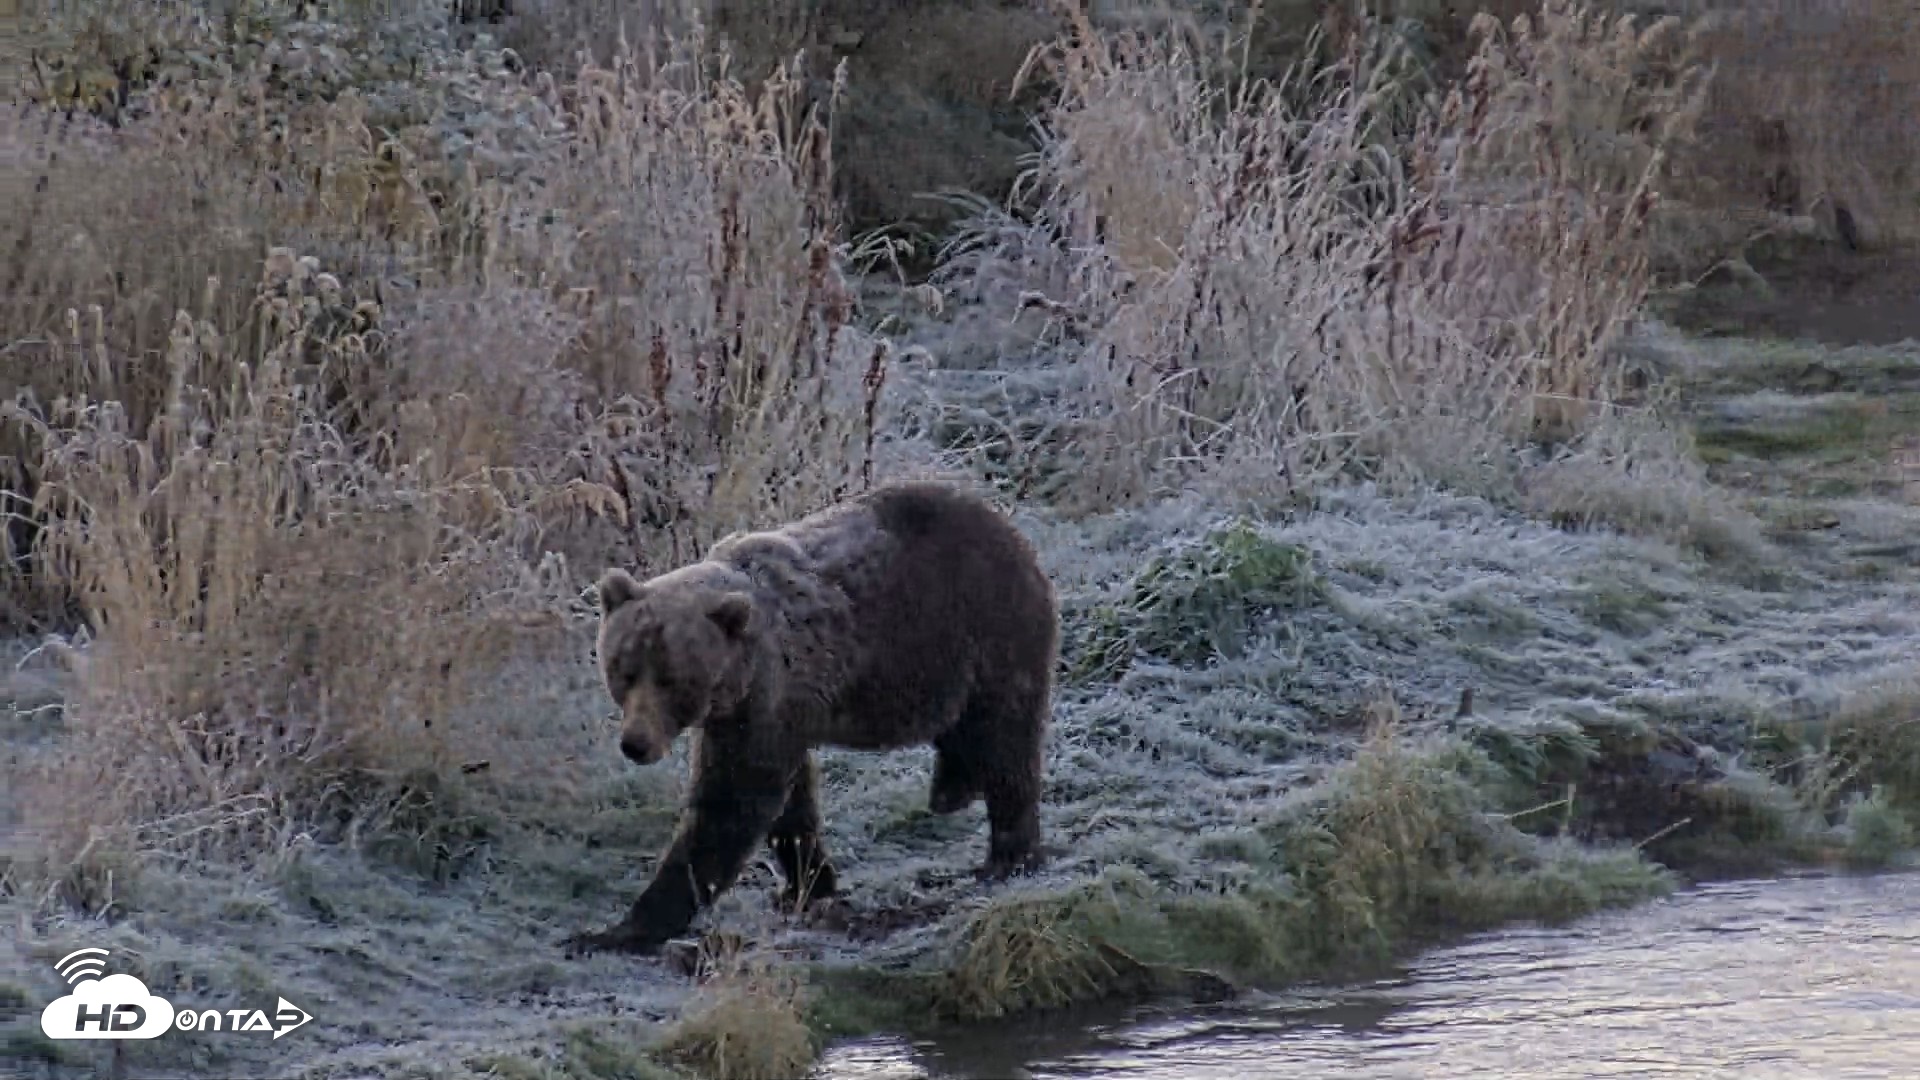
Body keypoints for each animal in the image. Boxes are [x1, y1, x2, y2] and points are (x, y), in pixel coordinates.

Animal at [562, 478, 1060, 957]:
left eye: (671, 678)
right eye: (623, 670)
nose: (636, 743)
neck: (738, 675)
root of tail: (1012, 532)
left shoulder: (766, 700)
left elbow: (729, 804)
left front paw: (619, 929)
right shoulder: (762, 714)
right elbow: (789, 801)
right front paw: (806, 884)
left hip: (984, 633)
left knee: (1006, 740)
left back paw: (1008, 854)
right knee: (965, 733)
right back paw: (954, 788)